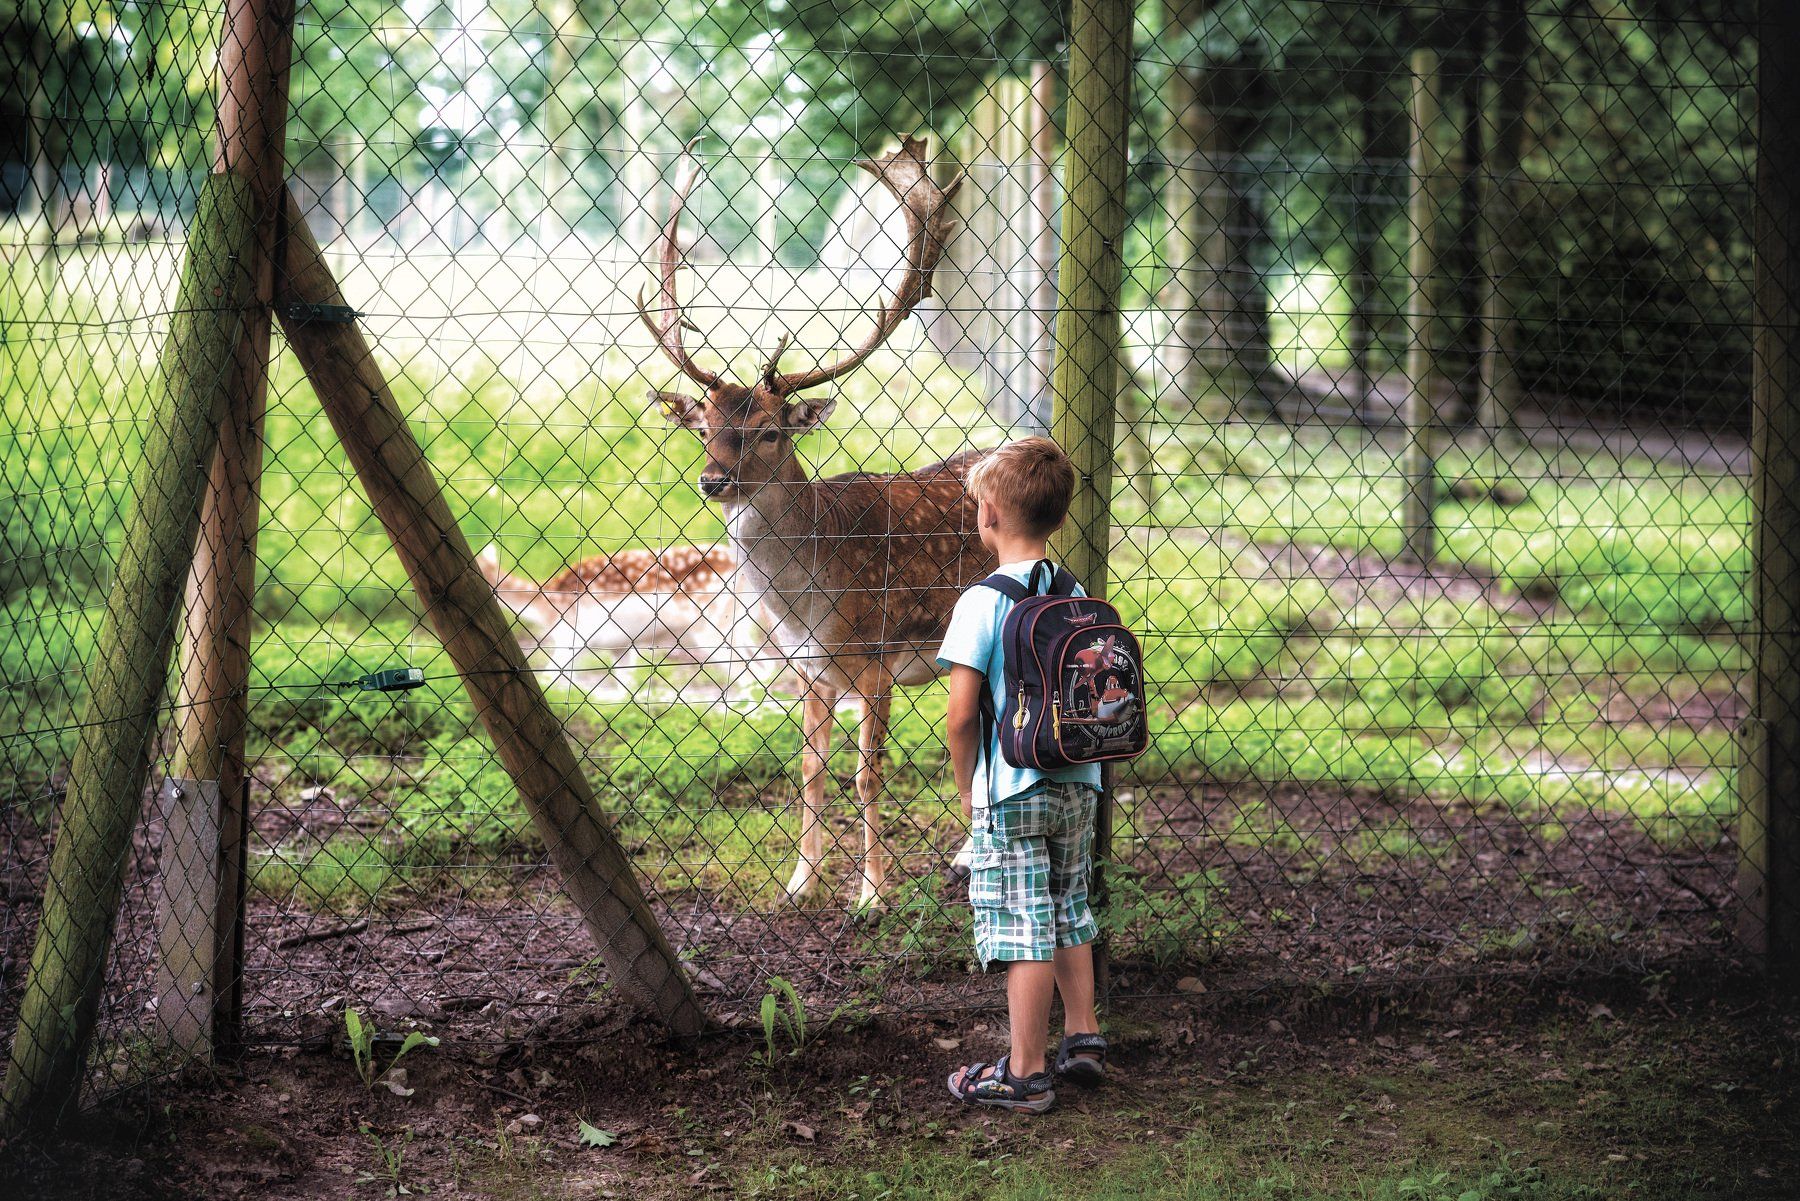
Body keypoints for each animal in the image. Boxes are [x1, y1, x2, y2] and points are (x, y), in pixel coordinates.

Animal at [637, 135, 1000, 907]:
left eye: (771, 431)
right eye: (704, 427)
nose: (713, 480)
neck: (808, 600)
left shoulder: (877, 657)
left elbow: (866, 775)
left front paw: (872, 894)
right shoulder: (806, 669)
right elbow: (807, 771)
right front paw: (799, 883)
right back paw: (965, 855)